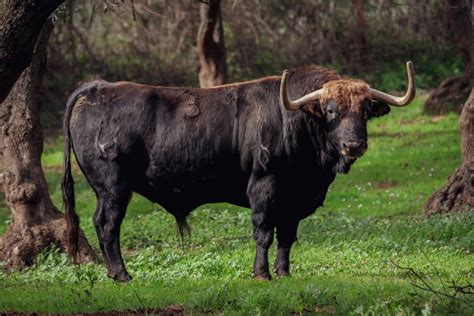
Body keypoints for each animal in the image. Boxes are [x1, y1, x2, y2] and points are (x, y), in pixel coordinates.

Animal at [62, 61, 414, 282]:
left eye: (365, 111)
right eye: (330, 111)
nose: (354, 145)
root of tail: (98, 88)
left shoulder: (294, 200)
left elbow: (287, 236)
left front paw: (284, 272)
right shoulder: (264, 189)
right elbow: (264, 233)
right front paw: (262, 273)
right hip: (113, 188)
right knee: (107, 225)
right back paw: (122, 274)